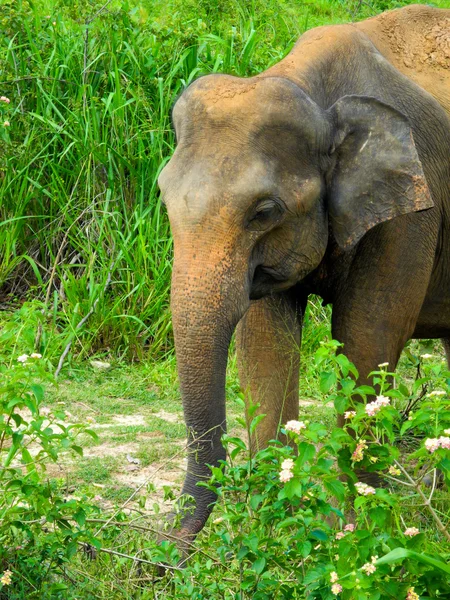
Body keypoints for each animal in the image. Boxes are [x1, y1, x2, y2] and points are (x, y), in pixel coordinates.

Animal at [157, 4, 450, 548]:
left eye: (264, 212)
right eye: (164, 196)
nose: (163, 552)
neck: (313, 89)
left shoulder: (410, 208)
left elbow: (367, 336)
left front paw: (354, 537)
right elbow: (266, 344)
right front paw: (278, 531)